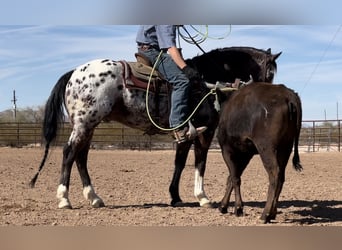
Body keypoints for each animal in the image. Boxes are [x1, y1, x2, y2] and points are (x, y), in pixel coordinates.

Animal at [28, 46, 280, 208]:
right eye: (270, 72)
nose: (266, 95)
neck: (208, 80)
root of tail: (74, 73)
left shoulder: (185, 133)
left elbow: (179, 163)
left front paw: (175, 196)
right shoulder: (205, 132)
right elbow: (200, 163)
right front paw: (202, 197)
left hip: (89, 126)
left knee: (81, 157)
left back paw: (94, 198)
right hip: (84, 124)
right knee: (69, 153)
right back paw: (64, 198)